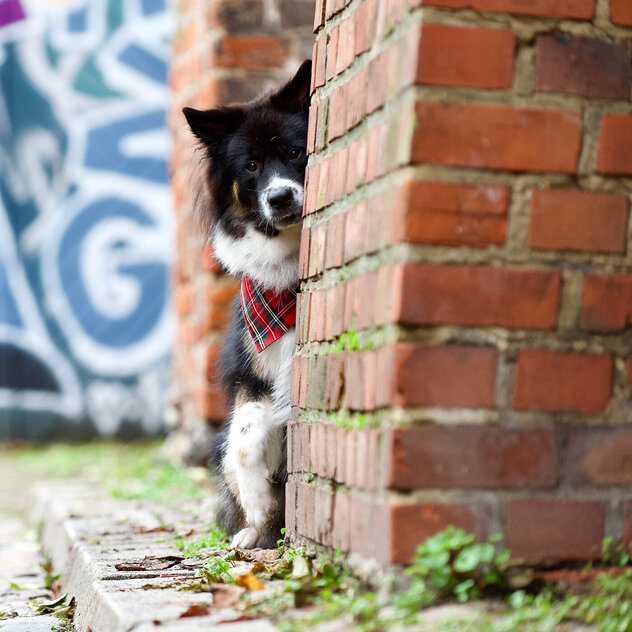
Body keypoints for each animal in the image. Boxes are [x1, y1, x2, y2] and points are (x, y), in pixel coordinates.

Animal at [183, 61, 312, 552]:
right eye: (251, 166)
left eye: (295, 151)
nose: (280, 198)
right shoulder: (252, 369)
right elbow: (242, 435)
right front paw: (256, 511)